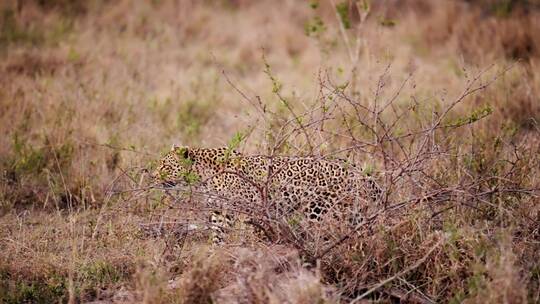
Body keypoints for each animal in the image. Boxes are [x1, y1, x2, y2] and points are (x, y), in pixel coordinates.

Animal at [150, 145, 382, 245]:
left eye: (165, 166)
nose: (152, 177)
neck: (204, 176)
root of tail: (360, 172)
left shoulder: (252, 208)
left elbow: (255, 232)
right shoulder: (220, 209)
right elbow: (217, 233)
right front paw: (213, 256)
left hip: (317, 209)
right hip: (351, 212)